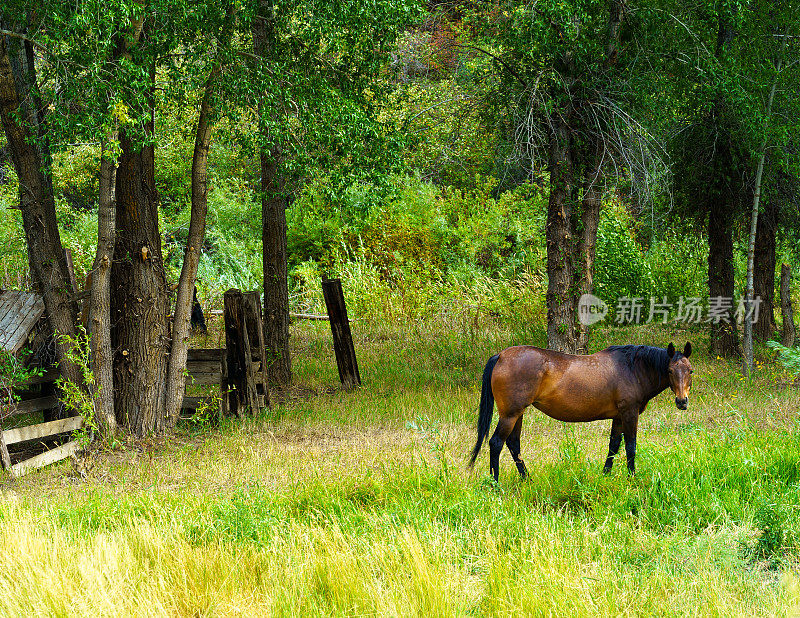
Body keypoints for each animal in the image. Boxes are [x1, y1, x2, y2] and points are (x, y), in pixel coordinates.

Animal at [472, 342, 692, 482]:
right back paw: (495, 484)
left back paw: (527, 480)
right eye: (670, 371)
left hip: (518, 413)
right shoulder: (630, 413)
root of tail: (500, 356)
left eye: (690, 371)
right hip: (510, 414)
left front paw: (605, 475)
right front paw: (632, 478)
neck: (632, 368)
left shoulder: (618, 416)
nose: (682, 401)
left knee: (513, 444)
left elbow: (613, 446)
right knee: (496, 443)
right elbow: (631, 447)